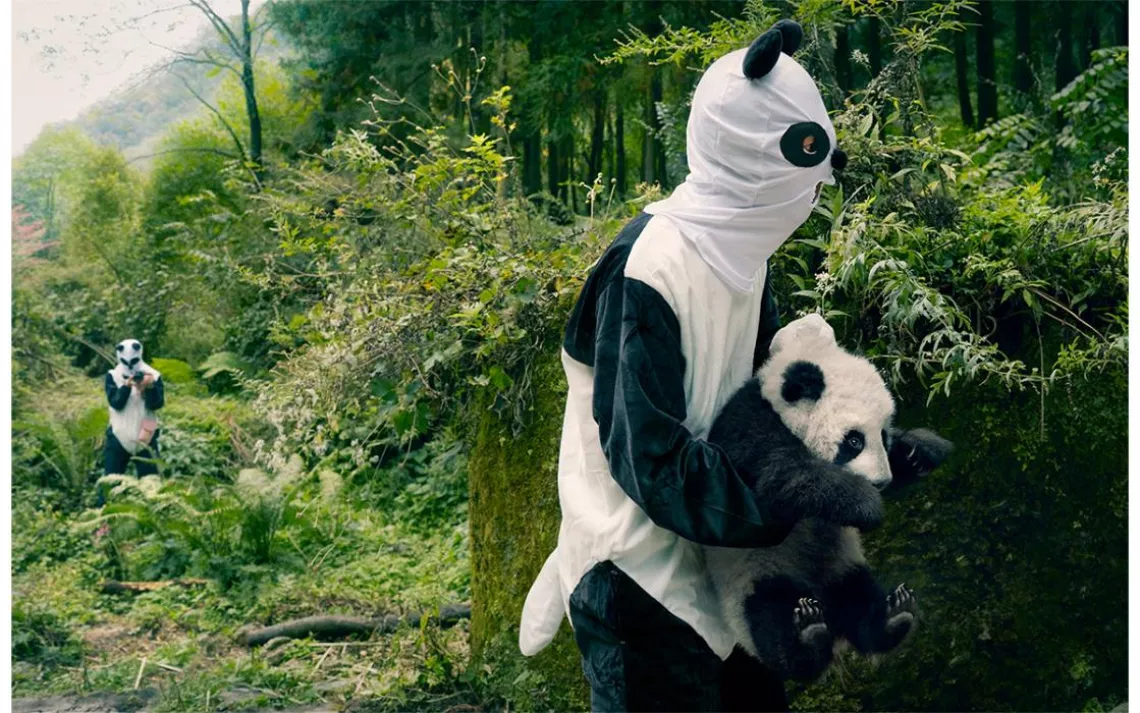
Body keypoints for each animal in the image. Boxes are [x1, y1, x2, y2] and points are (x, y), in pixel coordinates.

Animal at [103, 338, 165, 477]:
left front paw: (148, 383)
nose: (132, 371)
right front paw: (127, 383)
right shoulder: (109, 377)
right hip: (115, 440)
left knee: (149, 469)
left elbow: (158, 402)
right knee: (112, 468)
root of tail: (133, 451)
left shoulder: (157, 376)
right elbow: (114, 400)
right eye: (125, 362)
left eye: (134, 360)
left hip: (148, 444)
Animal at [703, 314, 953, 682]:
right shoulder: (745, 429)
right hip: (752, 576)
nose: (880, 482)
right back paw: (806, 637)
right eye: (854, 440)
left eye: (883, 436)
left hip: (842, 566)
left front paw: (920, 450)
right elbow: (782, 478)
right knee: (768, 617)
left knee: (858, 599)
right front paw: (863, 504)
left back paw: (894, 616)